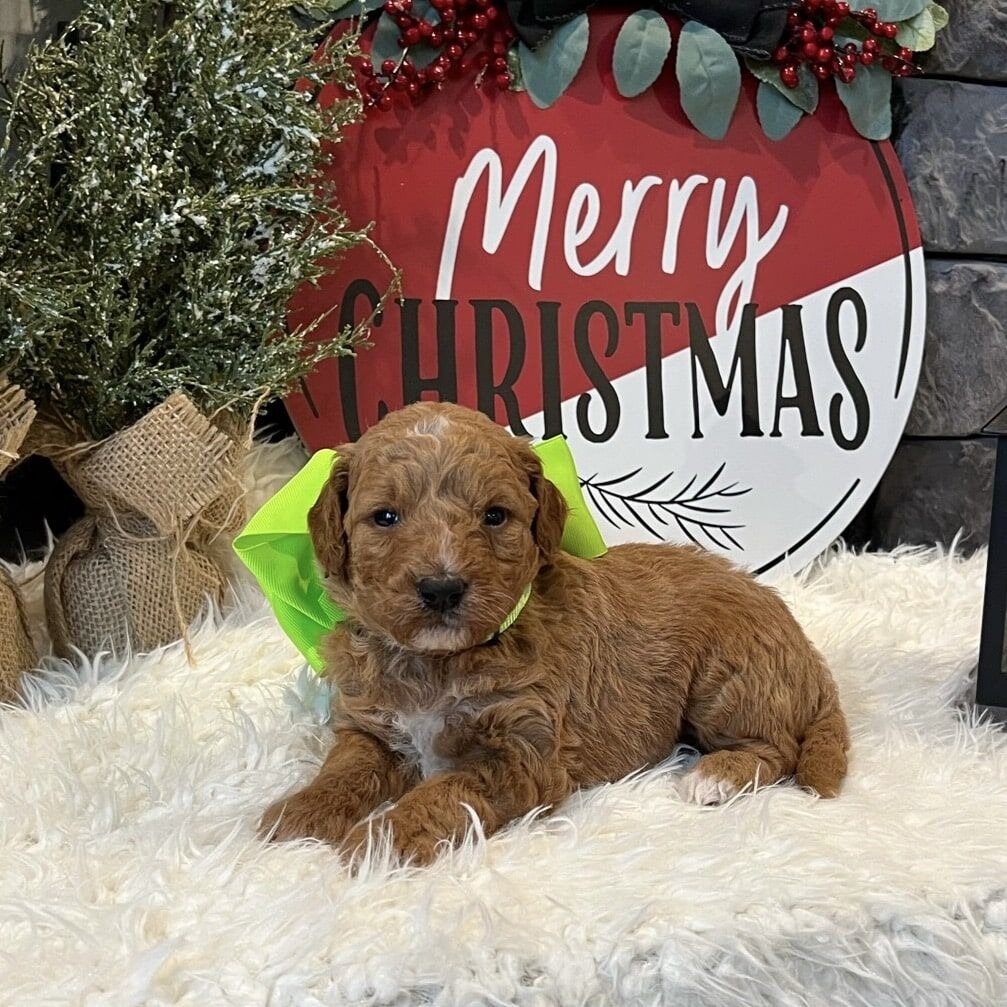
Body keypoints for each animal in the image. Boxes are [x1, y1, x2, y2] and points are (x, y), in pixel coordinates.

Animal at [261, 400, 849, 866]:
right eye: (385, 517)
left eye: (495, 516)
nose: (442, 588)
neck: (440, 661)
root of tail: (807, 652)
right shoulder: (371, 728)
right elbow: (343, 769)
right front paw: (299, 814)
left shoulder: (523, 753)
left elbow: (445, 791)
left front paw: (380, 841)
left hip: (727, 680)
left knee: (778, 747)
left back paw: (716, 776)